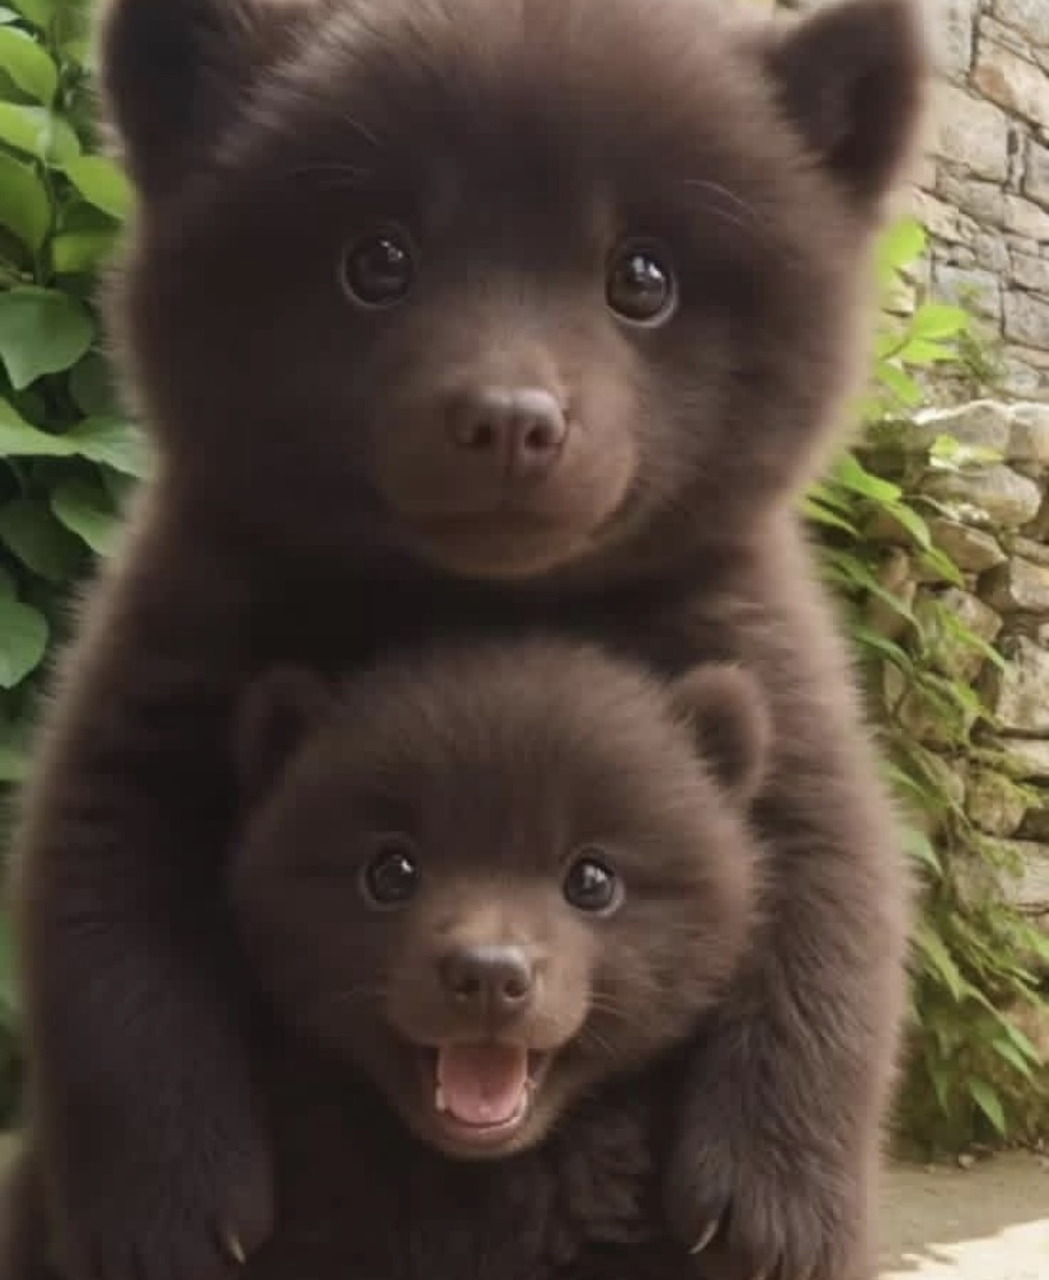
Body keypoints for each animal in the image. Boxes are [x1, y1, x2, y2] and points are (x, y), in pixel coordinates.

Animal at [6, 2, 925, 1280]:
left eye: (641, 274)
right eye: (377, 257)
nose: (507, 417)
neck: (478, 595)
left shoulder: (763, 661)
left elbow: (830, 898)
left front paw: (767, 1195)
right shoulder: (166, 661)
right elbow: (109, 923)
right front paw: (170, 1206)